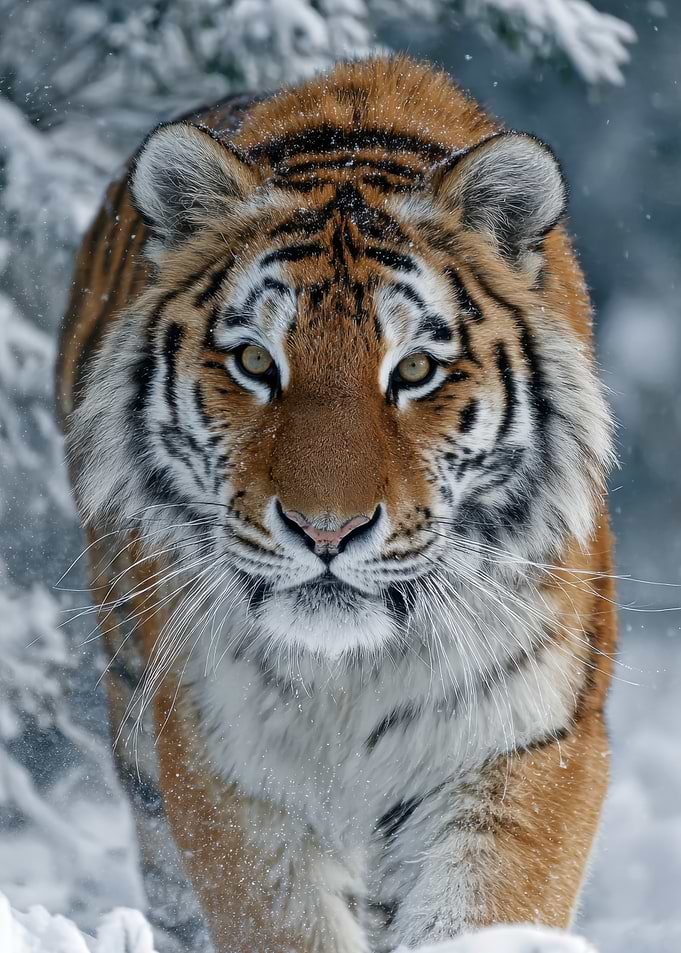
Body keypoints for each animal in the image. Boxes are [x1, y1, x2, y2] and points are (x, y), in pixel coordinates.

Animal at [57, 55, 617, 953]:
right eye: (255, 362)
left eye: (415, 370)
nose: (327, 530)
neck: (353, 667)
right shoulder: (219, 750)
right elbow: (279, 918)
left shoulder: (529, 730)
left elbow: (485, 905)